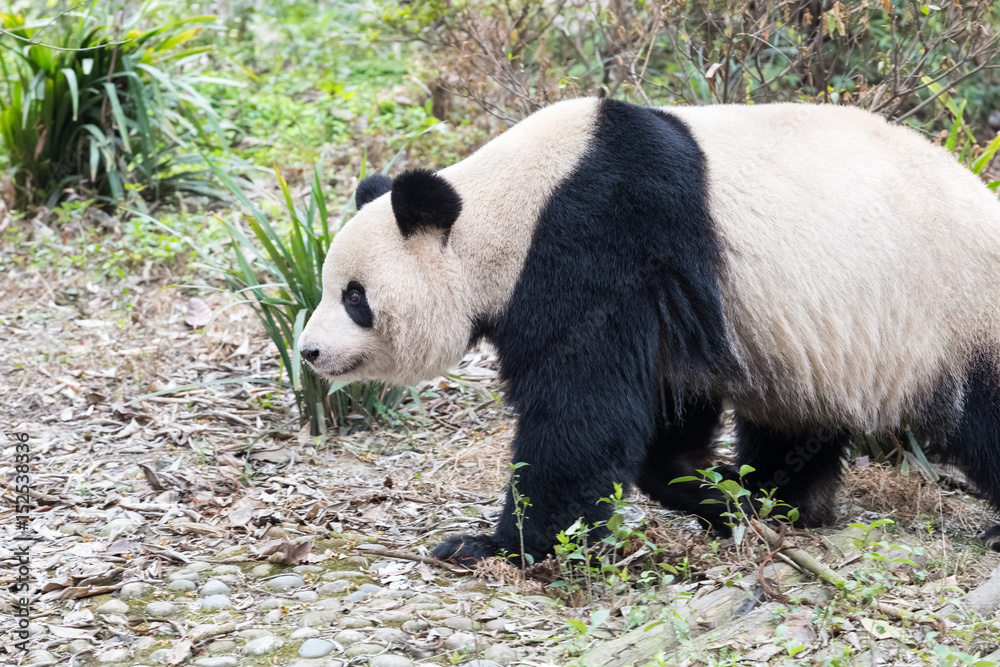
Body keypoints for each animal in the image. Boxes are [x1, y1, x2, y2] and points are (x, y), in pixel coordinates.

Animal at [296, 99, 1000, 568]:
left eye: (355, 297)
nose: (309, 351)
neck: (503, 206)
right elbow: (663, 403)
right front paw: (713, 496)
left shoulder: (600, 237)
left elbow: (583, 408)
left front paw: (499, 545)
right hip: (817, 340)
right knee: (797, 420)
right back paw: (781, 501)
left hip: (955, 309)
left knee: (984, 409)